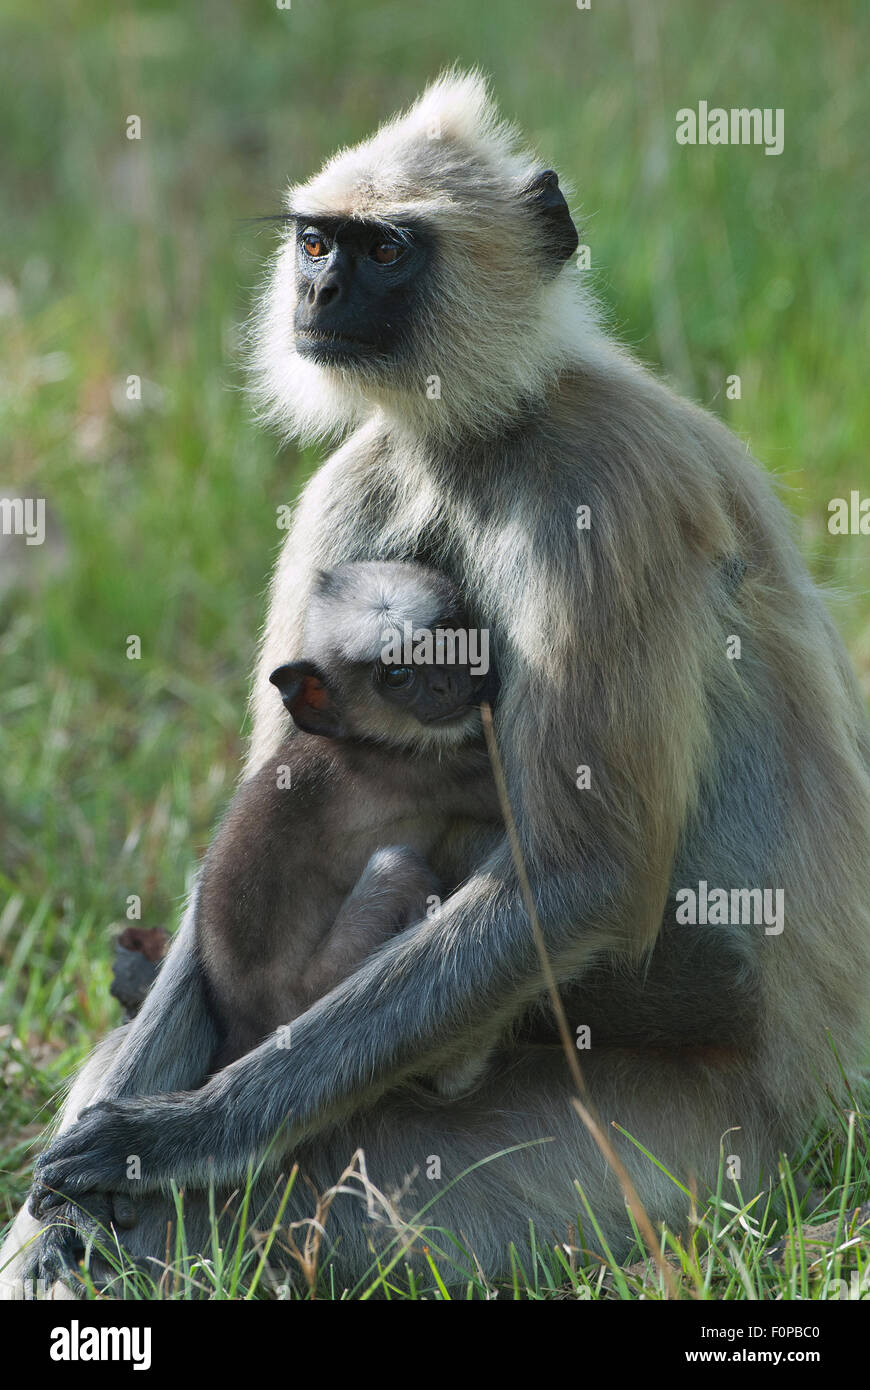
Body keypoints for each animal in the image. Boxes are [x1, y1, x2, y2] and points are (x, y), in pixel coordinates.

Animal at [191, 561, 497, 1095]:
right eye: (397, 675)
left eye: (448, 643)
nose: (445, 685)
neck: (366, 744)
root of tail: (244, 1026)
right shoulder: (426, 771)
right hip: (319, 982)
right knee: (397, 867)